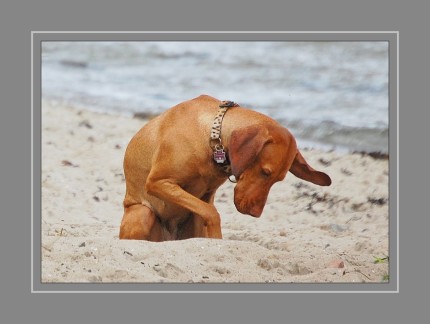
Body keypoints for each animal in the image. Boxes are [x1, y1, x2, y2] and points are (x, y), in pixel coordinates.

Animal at [119, 93, 330, 240]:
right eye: (265, 172)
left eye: (278, 180)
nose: (255, 213)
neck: (213, 136)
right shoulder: (158, 182)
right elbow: (212, 213)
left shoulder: (205, 197)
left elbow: (206, 212)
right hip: (143, 213)